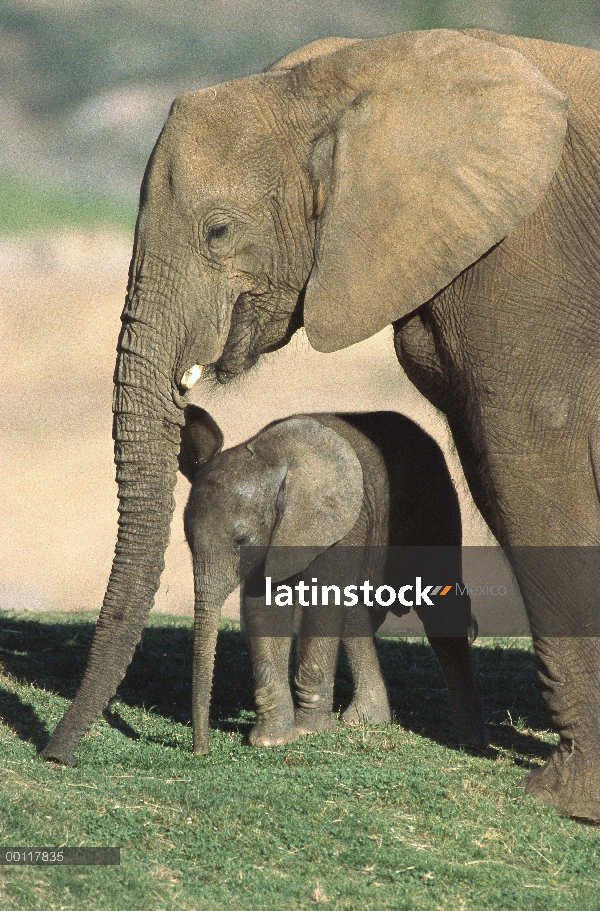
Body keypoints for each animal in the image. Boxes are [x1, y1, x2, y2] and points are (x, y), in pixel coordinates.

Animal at [179, 406, 488, 756]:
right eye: (187, 538)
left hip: (435, 506)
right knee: (357, 613)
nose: (200, 751)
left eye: (241, 540)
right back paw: (365, 720)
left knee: (441, 612)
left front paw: (309, 732)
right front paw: (273, 741)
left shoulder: (340, 523)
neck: (272, 462)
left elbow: (322, 600)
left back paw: (469, 739)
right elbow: (264, 608)